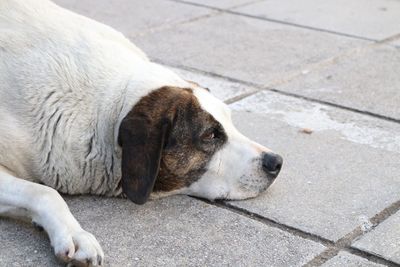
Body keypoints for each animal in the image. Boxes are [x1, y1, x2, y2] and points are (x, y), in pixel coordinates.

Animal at [0, 0, 282, 266]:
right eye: (211, 135)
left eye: (230, 122)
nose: (276, 161)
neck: (108, 110)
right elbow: (46, 193)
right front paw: (74, 233)